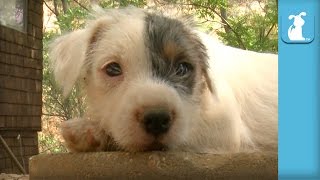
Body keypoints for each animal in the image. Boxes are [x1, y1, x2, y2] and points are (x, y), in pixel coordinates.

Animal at [49, 7, 278, 153]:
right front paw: (89, 131)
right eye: (113, 69)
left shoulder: (224, 132)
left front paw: (91, 130)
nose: (157, 119)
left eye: (182, 68)